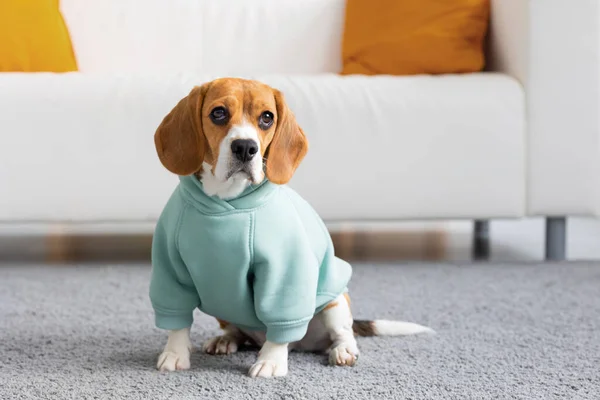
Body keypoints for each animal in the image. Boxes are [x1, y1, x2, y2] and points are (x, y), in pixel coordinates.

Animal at [150, 76, 432, 378]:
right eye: (218, 113)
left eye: (266, 118)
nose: (245, 147)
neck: (227, 202)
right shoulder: (170, 269)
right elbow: (177, 321)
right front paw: (175, 353)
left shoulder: (285, 272)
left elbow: (280, 320)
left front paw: (272, 361)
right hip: (222, 306)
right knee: (237, 332)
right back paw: (225, 340)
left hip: (335, 300)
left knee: (342, 333)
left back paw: (343, 351)